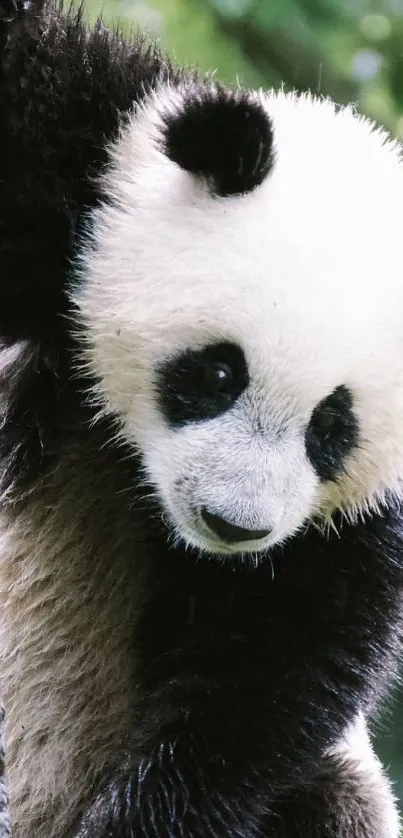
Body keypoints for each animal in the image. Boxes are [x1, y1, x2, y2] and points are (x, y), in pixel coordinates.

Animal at [0, 0, 403, 836]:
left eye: (333, 429)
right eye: (218, 372)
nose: (233, 525)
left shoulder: (357, 523)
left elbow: (267, 663)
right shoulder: (79, 176)